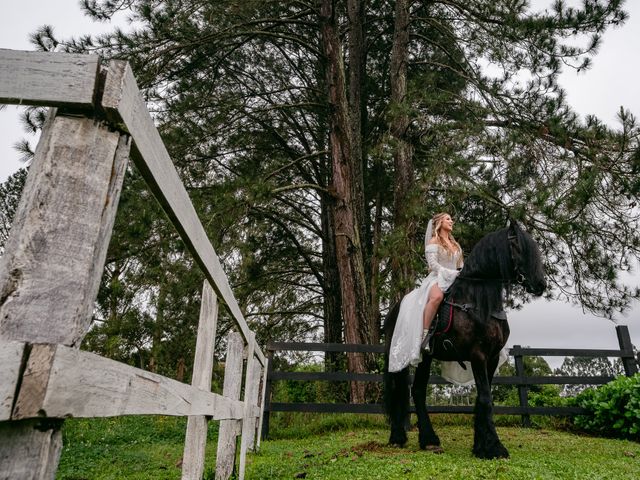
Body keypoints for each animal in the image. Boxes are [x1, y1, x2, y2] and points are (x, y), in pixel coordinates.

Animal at [384, 223, 544, 460]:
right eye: (518, 246)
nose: (540, 284)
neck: (478, 302)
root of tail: (394, 311)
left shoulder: (491, 358)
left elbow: (482, 398)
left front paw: (480, 446)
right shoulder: (477, 355)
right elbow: (486, 399)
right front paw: (494, 447)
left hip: (426, 358)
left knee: (418, 391)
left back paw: (429, 440)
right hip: (400, 356)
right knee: (398, 391)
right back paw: (398, 437)